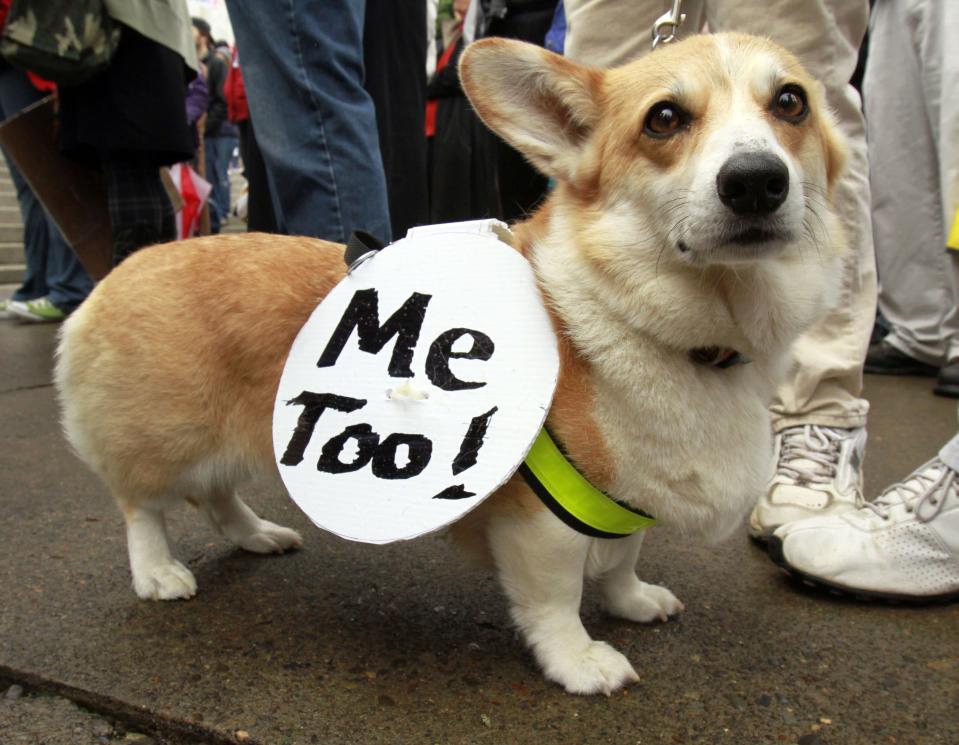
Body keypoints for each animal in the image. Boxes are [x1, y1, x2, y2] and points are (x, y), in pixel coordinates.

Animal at [54, 33, 848, 696]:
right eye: (663, 119)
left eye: (791, 102)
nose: (756, 181)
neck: (675, 329)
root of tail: (112, 278)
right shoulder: (544, 520)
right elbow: (557, 597)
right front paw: (580, 661)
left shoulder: (624, 497)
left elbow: (623, 556)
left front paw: (632, 602)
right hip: (168, 440)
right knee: (143, 505)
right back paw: (158, 571)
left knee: (217, 496)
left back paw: (258, 535)